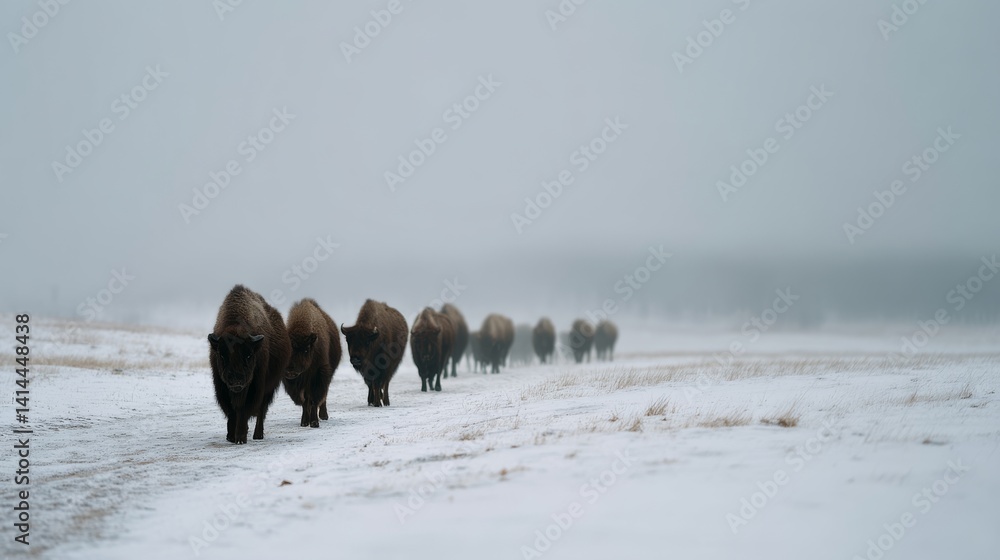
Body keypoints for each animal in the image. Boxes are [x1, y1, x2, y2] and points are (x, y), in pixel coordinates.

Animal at [208, 285, 291, 444]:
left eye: (249, 355)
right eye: (222, 355)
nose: (236, 380)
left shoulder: (255, 387)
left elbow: (243, 411)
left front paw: (240, 438)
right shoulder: (222, 388)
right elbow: (232, 412)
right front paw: (231, 437)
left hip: (268, 390)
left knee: (261, 411)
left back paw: (258, 435)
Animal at [283, 299, 341, 428]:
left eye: (306, 349)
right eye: (288, 349)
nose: (290, 370)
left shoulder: (318, 375)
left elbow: (314, 398)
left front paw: (314, 422)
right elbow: (305, 401)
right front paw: (304, 422)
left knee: (323, 396)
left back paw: (323, 416)